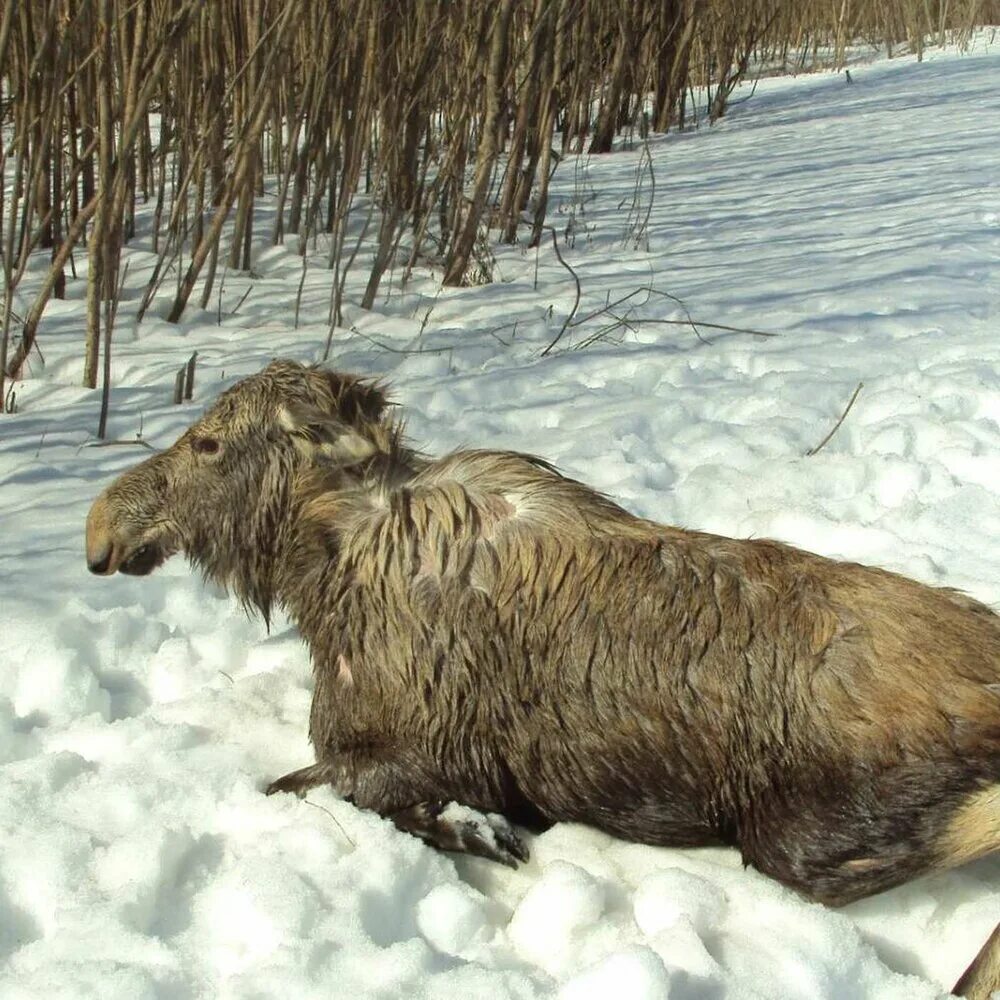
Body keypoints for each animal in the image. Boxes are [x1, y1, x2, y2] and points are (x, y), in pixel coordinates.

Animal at [88, 358, 1000, 992]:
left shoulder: (416, 751)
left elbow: (315, 785)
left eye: (211, 442)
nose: (101, 530)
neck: (323, 573)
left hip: (808, 837)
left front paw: (482, 833)